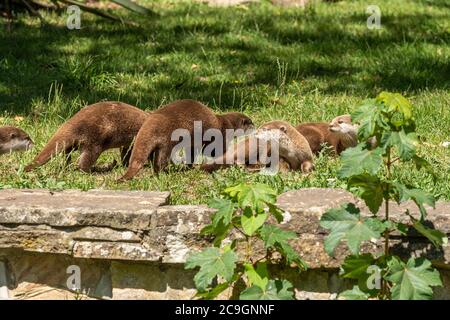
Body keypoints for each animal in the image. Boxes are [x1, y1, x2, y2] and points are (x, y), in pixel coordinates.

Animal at [118, 99, 255, 181]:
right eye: (251, 123)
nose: (255, 126)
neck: (227, 124)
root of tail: (151, 123)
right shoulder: (220, 136)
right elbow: (214, 151)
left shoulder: (194, 143)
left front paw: (189, 166)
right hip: (168, 141)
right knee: (161, 160)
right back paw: (163, 173)